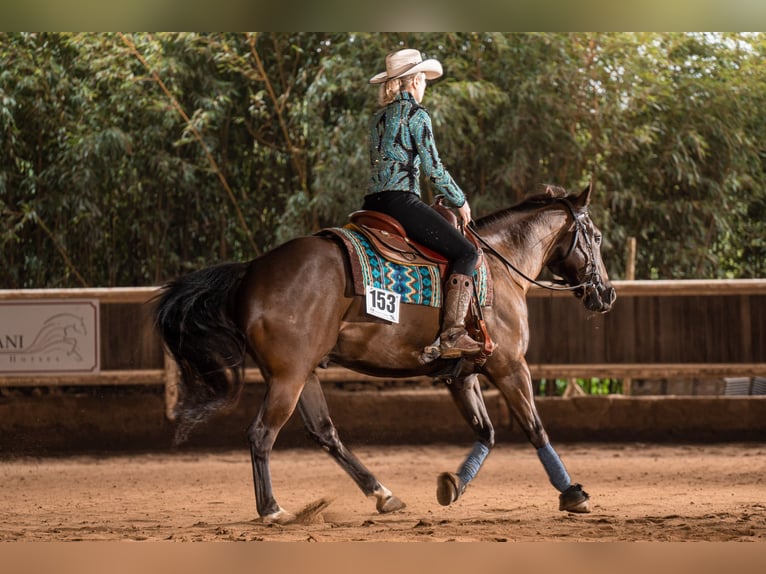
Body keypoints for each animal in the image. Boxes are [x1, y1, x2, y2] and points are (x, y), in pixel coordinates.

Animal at [154, 181, 616, 528]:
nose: (606, 293)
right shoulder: (509, 366)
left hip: (302, 374)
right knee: (261, 433)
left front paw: (453, 484)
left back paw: (383, 495)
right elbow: (535, 429)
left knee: (325, 433)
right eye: (595, 237)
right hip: (288, 377)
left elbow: (486, 432)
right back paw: (272, 509)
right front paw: (572, 493)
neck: (499, 269)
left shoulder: (462, 375)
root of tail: (250, 271)